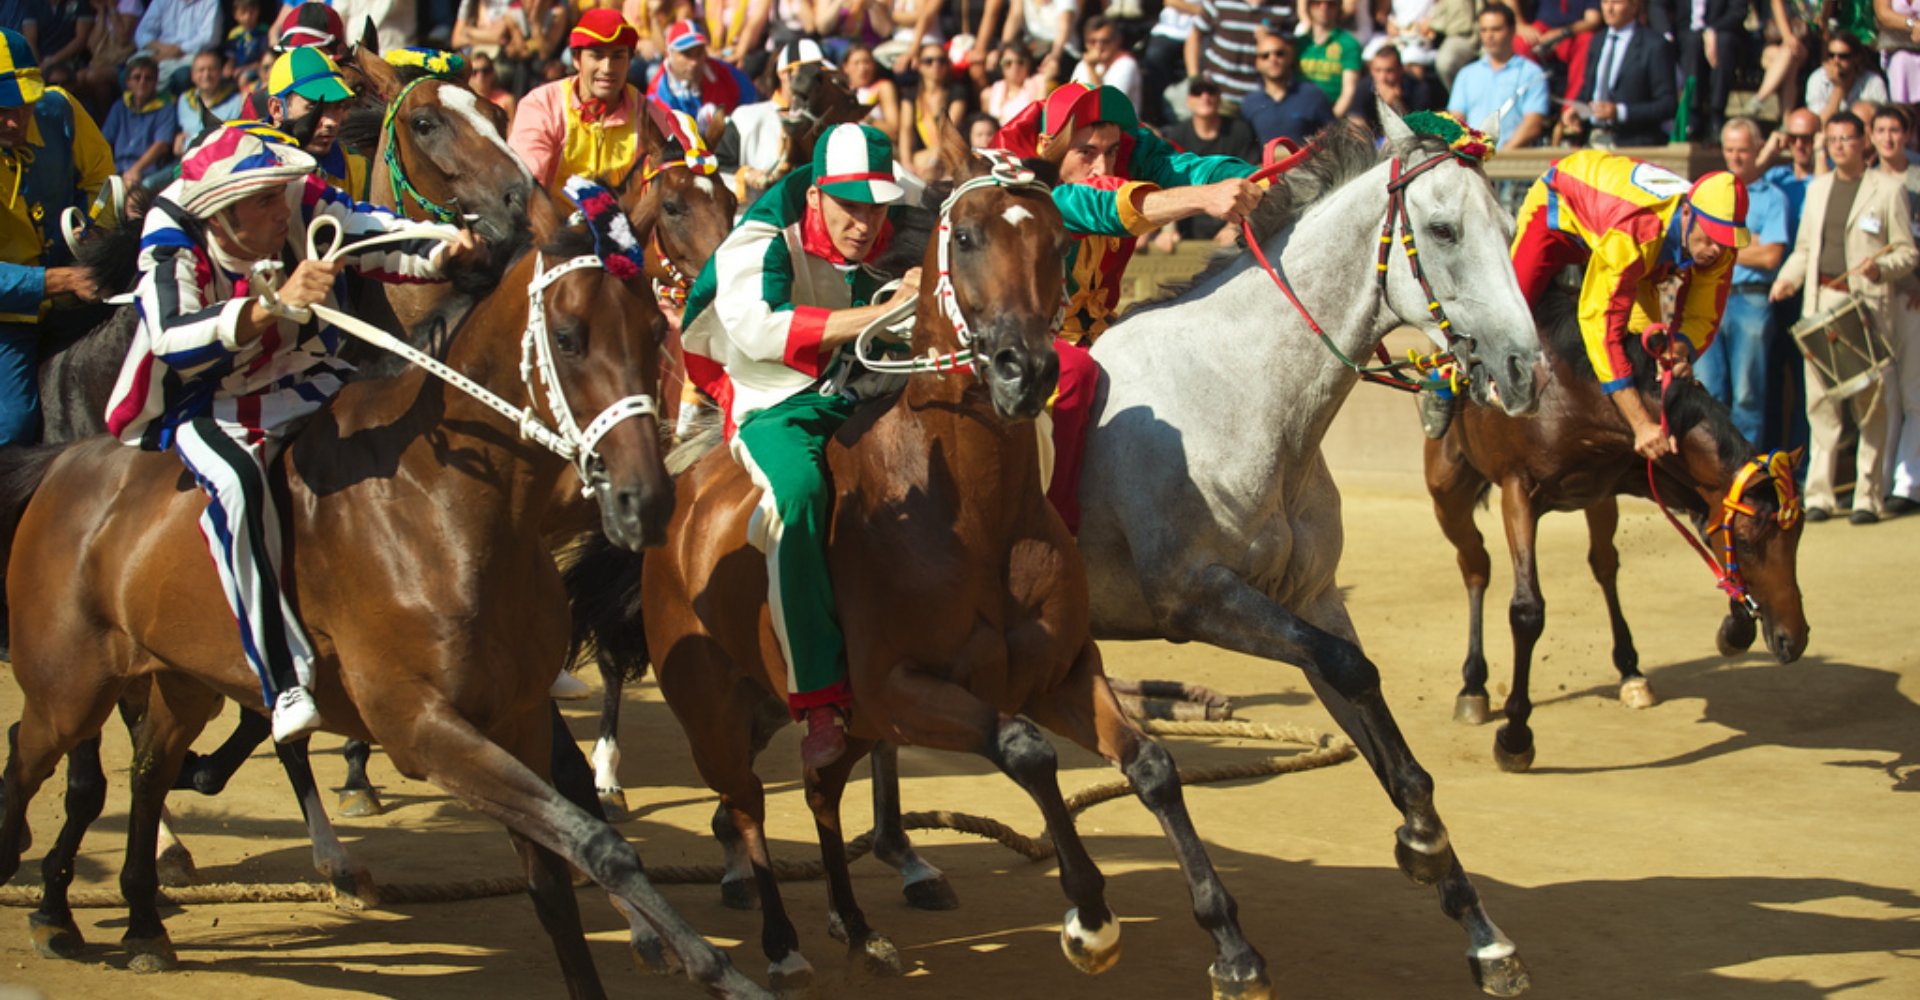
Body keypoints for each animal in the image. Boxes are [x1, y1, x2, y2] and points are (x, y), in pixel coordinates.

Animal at [0, 187, 768, 998]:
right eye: (566, 335)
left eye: (655, 331)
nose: (642, 500)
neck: (446, 504)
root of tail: (63, 464)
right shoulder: (422, 726)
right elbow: (596, 840)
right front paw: (716, 966)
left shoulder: (517, 715)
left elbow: (558, 874)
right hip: (69, 687)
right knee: (36, 758)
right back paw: (54, 900)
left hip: (183, 682)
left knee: (147, 769)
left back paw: (142, 917)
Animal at [576, 128, 1282, 990]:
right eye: (968, 237)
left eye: (1058, 241)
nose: (1024, 368)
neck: (973, 519)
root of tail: (683, 503)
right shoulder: (902, 690)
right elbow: (1026, 750)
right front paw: (1089, 916)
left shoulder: (1058, 671)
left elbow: (1151, 766)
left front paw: (1232, 945)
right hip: (715, 711)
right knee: (747, 809)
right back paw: (779, 943)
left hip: (815, 718)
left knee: (816, 789)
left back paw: (856, 926)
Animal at [1428, 284, 1812, 767]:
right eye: (1745, 542)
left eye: (1797, 534)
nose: (1793, 638)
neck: (1574, 392)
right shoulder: (1519, 490)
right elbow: (1527, 611)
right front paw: (1515, 737)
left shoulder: (1648, 469)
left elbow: (1703, 523)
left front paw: (1736, 627)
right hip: (1448, 488)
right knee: (1475, 565)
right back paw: (1473, 685)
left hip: (1598, 498)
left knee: (1604, 564)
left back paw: (1630, 669)